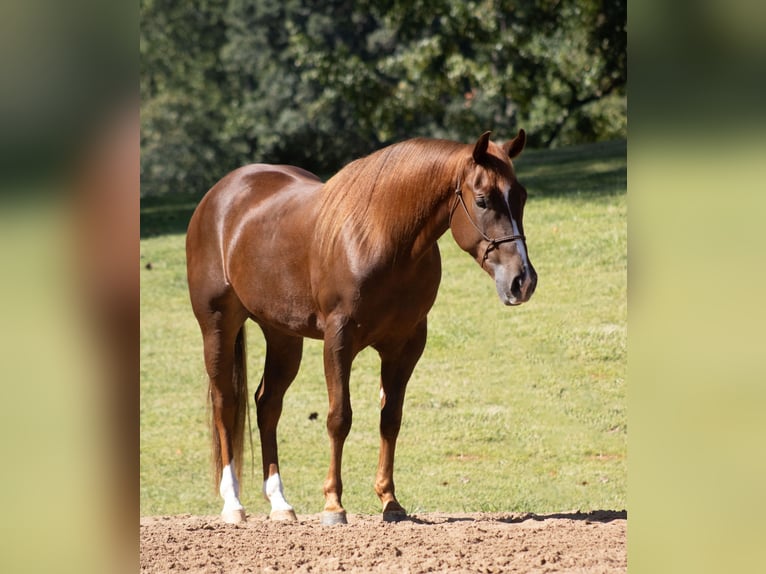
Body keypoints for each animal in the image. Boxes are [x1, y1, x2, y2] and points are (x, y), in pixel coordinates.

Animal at [185, 130, 537, 525]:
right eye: (482, 200)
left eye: (521, 196)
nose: (522, 281)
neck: (381, 237)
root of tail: (219, 196)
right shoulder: (339, 340)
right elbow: (340, 418)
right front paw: (333, 505)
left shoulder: (405, 345)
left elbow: (391, 418)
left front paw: (390, 501)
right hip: (217, 325)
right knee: (225, 404)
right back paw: (233, 504)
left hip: (283, 336)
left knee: (267, 404)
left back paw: (280, 503)